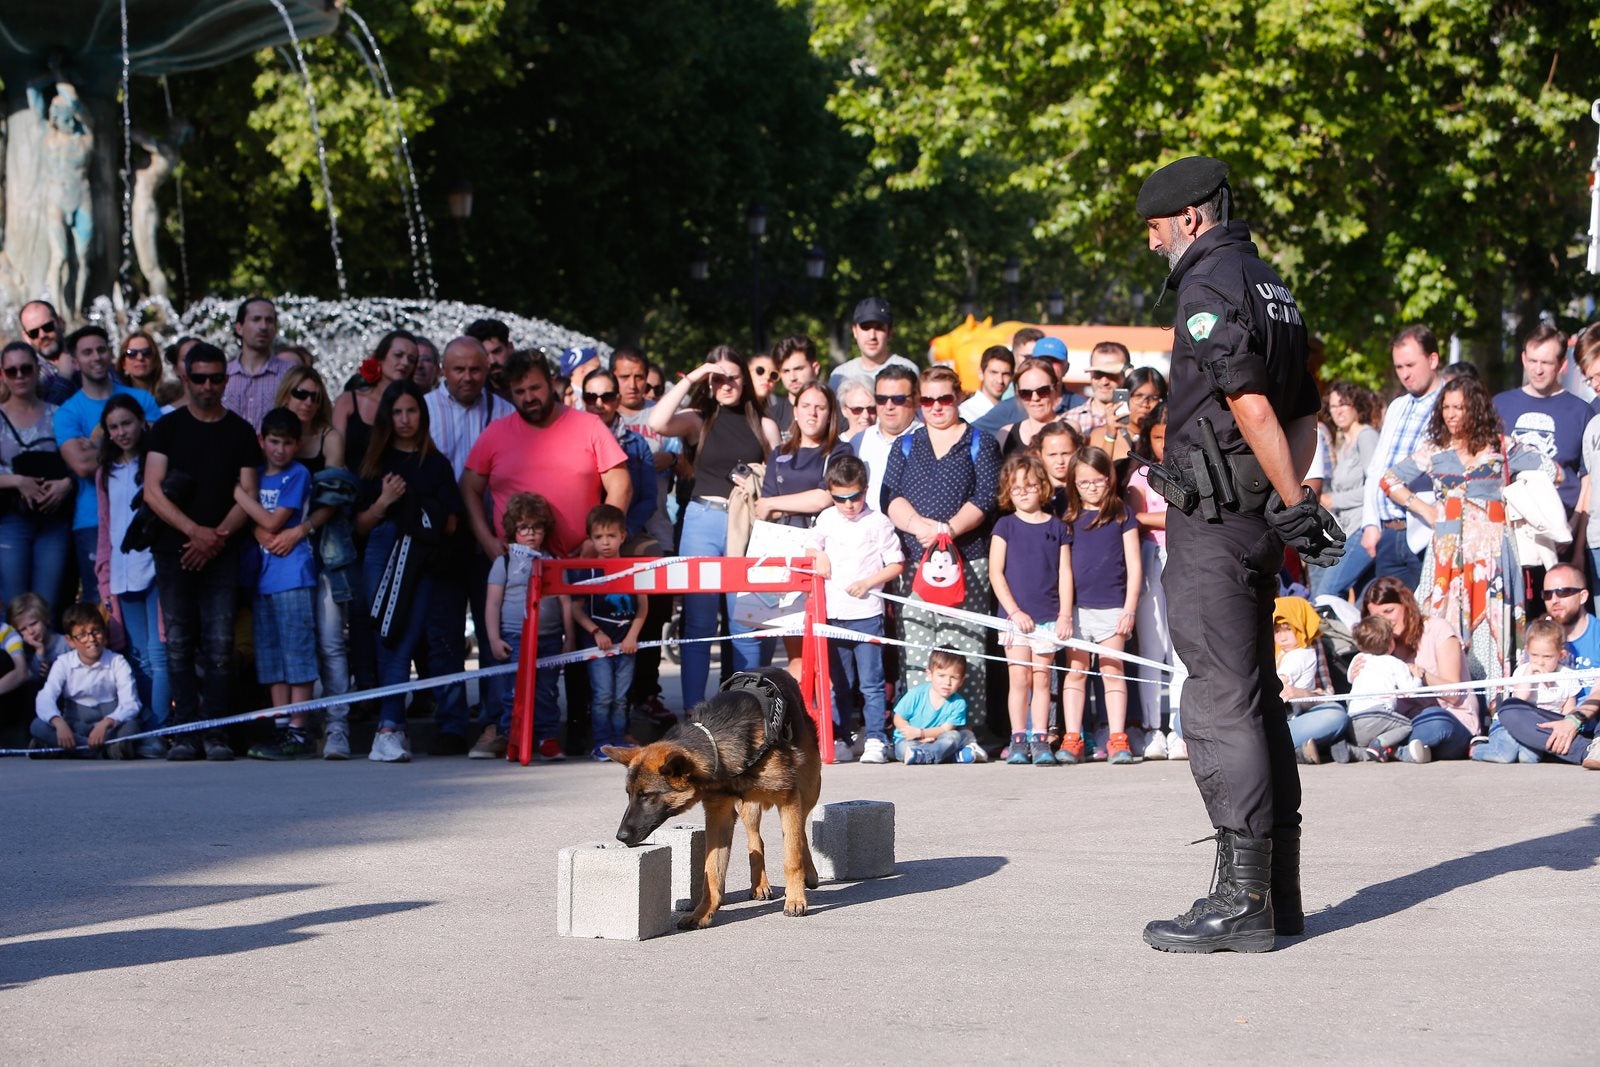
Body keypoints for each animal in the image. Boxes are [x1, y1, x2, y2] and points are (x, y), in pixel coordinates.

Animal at [601, 671, 825, 927]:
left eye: (647, 796)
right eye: (629, 795)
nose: (621, 836)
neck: (715, 743)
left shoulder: (788, 798)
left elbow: (791, 854)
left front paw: (796, 899)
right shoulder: (719, 815)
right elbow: (711, 870)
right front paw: (702, 913)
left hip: (808, 789)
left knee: (800, 831)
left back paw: (808, 874)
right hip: (749, 806)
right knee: (756, 841)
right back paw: (759, 884)